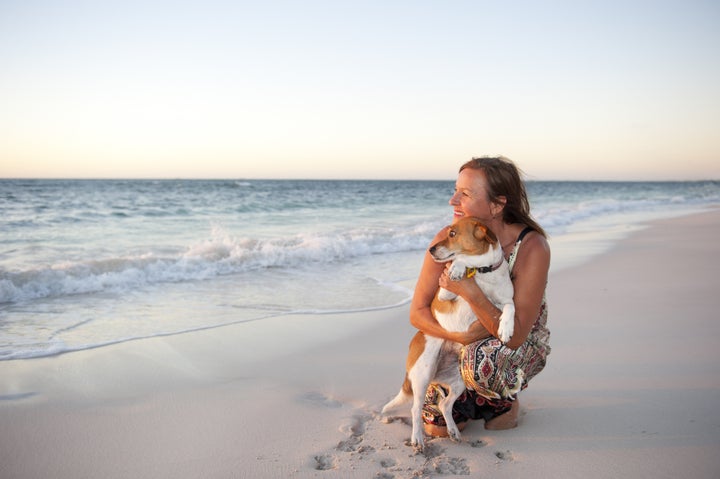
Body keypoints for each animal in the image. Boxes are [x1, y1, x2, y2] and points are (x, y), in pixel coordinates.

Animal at [380, 219, 516, 452]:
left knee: (444, 404)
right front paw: (458, 268)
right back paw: (418, 439)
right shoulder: (444, 295)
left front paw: (506, 329)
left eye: (453, 233)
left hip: (460, 379)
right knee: (415, 409)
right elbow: (460, 260)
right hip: (423, 373)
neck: (483, 272)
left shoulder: (505, 301)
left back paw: (453, 431)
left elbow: (510, 308)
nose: (431, 249)